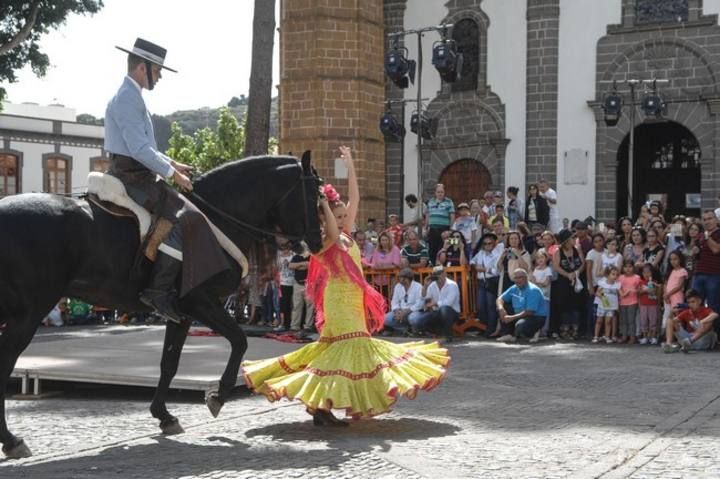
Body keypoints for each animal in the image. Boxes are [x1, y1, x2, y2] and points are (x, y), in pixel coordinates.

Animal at [0, 154, 322, 458]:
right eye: (313, 196)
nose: (317, 243)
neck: (217, 219)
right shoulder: (201, 302)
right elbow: (239, 341)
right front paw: (218, 396)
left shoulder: (180, 313)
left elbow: (169, 362)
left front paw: (164, 416)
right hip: (28, 313)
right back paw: (12, 440)